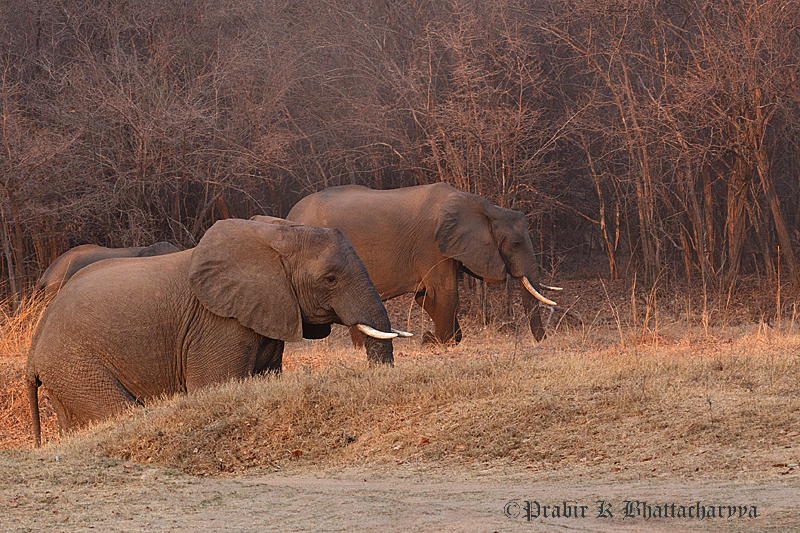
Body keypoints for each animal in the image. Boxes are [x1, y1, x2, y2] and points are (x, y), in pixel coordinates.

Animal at [290, 183, 564, 348]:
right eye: (516, 244)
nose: (543, 341)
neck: (484, 207)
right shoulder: (431, 245)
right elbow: (445, 293)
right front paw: (440, 343)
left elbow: (426, 297)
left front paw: (434, 340)